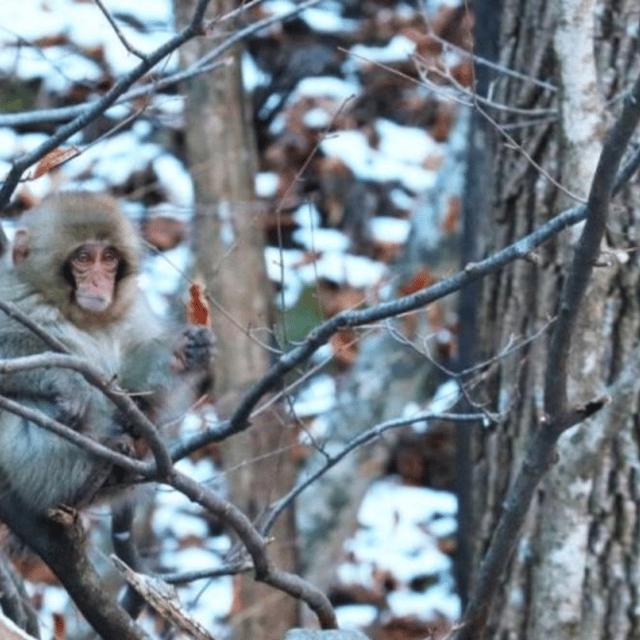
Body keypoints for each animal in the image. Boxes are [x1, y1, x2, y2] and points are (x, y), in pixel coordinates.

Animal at [0, 190, 215, 516]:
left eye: (109, 258)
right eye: (84, 258)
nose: (100, 281)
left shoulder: (133, 309)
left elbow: (134, 377)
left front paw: (182, 355)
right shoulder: (10, 294)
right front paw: (68, 381)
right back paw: (89, 473)